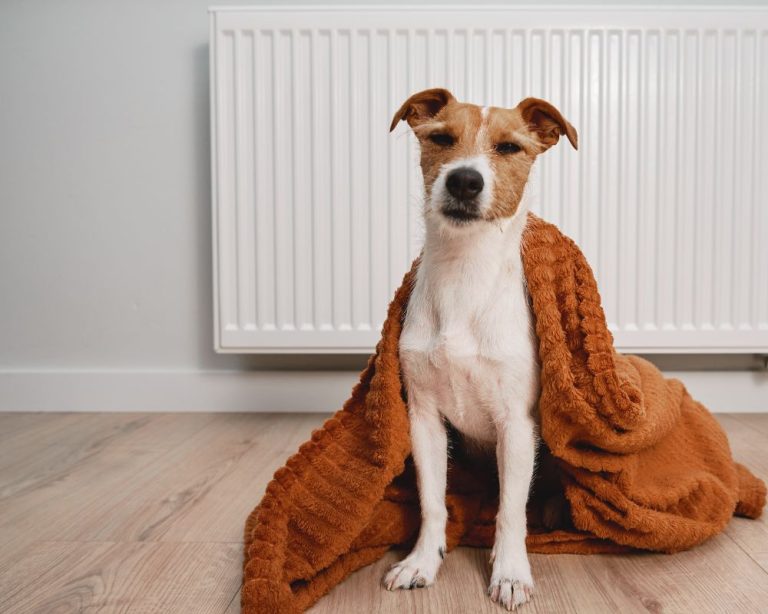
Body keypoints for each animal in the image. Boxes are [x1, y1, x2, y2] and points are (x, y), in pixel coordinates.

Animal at [380, 89, 580, 612]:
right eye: (441, 138)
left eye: (509, 147)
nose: (465, 180)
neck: (463, 275)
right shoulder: (424, 420)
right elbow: (433, 501)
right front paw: (422, 561)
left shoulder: (517, 426)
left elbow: (511, 510)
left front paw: (509, 573)